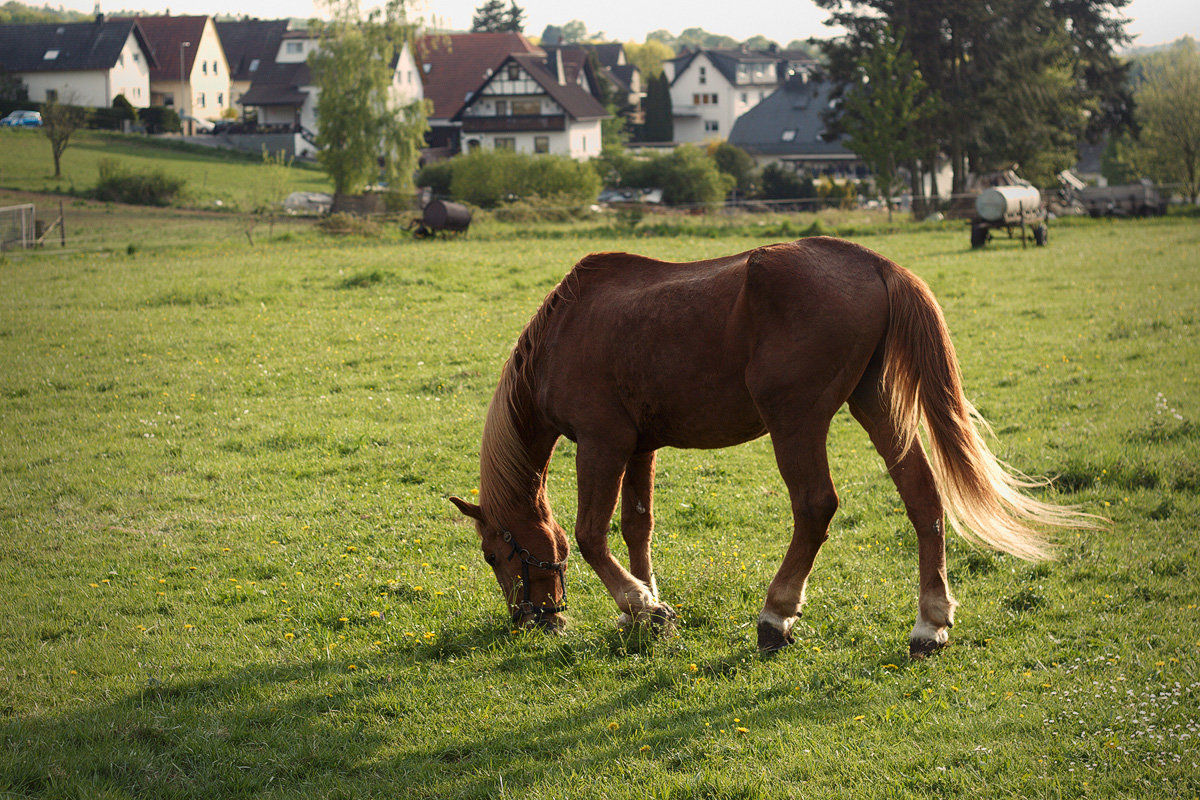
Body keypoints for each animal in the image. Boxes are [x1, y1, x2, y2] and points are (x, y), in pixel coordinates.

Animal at [448, 237, 1089, 657]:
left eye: (493, 555)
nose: (532, 621)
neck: (564, 333)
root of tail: (874, 263)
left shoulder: (603, 445)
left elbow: (589, 535)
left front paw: (640, 605)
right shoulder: (641, 448)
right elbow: (637, 527)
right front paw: (648, 611)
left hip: (795, 422)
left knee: (815, 508)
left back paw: (776, 615)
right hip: (875, 406)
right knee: (922, 498)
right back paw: (930, 623)